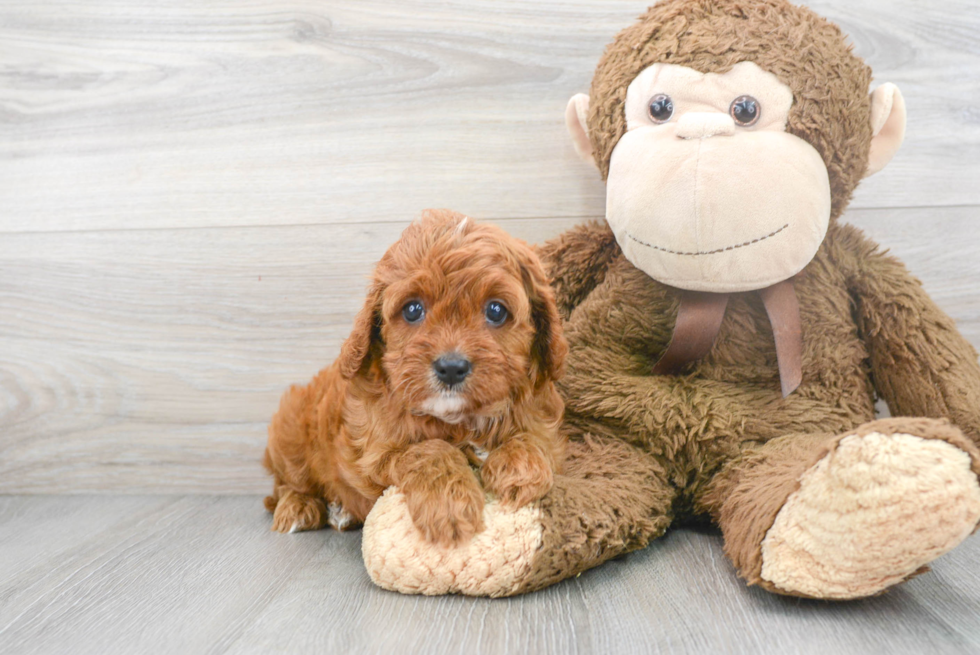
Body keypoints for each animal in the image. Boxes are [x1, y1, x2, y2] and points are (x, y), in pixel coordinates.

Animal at [262, 209, 568, 544]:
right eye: (412, 309)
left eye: (496, 311)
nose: (451, 367)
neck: (459, 420)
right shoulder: (373, 456)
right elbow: (428, 449)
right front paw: (449, 505)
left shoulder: (543, 420)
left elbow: (535, 437)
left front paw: (521, 467)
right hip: (290, 432)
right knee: (285, 485)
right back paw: (300, 507)